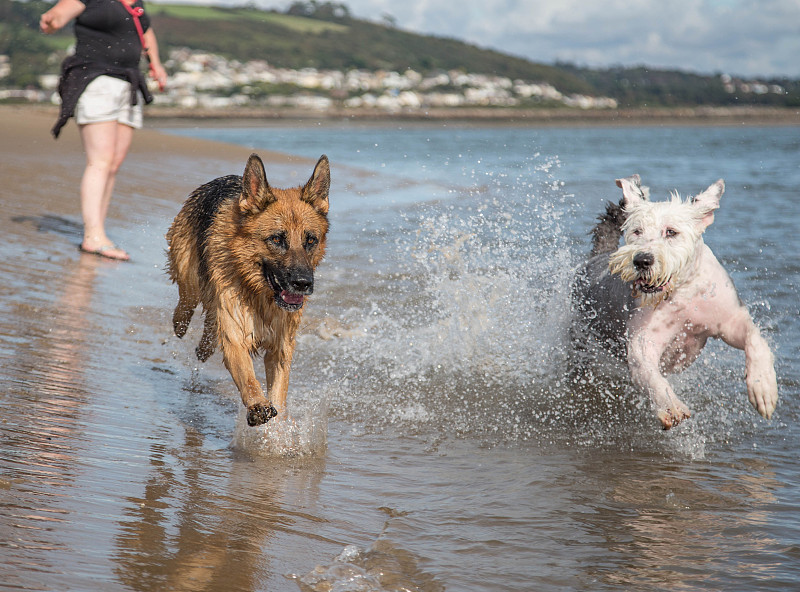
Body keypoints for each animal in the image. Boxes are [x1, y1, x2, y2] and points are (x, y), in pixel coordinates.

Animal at [167, 153, 330, 426]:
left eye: (310, 240)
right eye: (276, 239)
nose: (303, 283)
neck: (260, 291)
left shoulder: (280, 347)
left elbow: (279, 390)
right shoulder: (236, 334)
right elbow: (247, 376)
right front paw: (257, 404)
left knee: (210, 326)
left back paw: (204, 347)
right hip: (189, 277)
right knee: (186, 302)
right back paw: (180, 324)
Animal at [572, 173, 780, 428]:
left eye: (671, 232)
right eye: (637, 231)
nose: (642, 260)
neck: (682, 293)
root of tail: (597, 256)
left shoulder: (731, 320)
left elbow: (755, 339)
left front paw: (763, 388)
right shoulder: (642, 341)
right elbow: (649, 372)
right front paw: (670, 406)